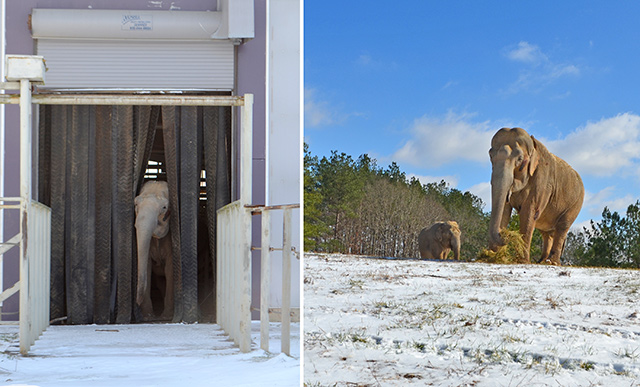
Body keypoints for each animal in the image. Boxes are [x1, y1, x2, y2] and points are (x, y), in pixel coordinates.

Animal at [135, 180, 174, 320]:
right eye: (135, 203)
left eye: (164, 207)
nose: (137, 302)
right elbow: (147, 266)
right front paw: (148, 316)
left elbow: (170, 269)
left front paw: (166, 317)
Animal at [488, 129, 584, 266]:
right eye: (490, 156)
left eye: (520, 159)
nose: (505, 235)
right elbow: (505, 210)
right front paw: (491, 256)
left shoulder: (542, 182)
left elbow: (529, 212)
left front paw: (522, 261)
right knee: (546, 233)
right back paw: (542, 261)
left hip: (575, 204)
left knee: (562, 227)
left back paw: (552, 262)